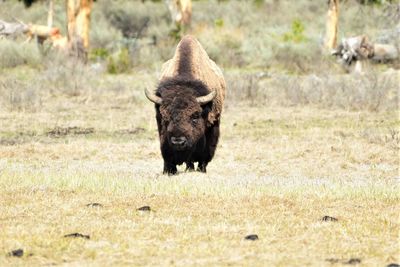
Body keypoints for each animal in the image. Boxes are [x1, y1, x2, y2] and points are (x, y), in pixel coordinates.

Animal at [145, 34, 227, 175]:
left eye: (195, 116)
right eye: (165, 117)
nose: (178, 141)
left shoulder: (212, 126)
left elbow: (203, 155)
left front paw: (200, 170)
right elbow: (166, 153)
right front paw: (169, 171)